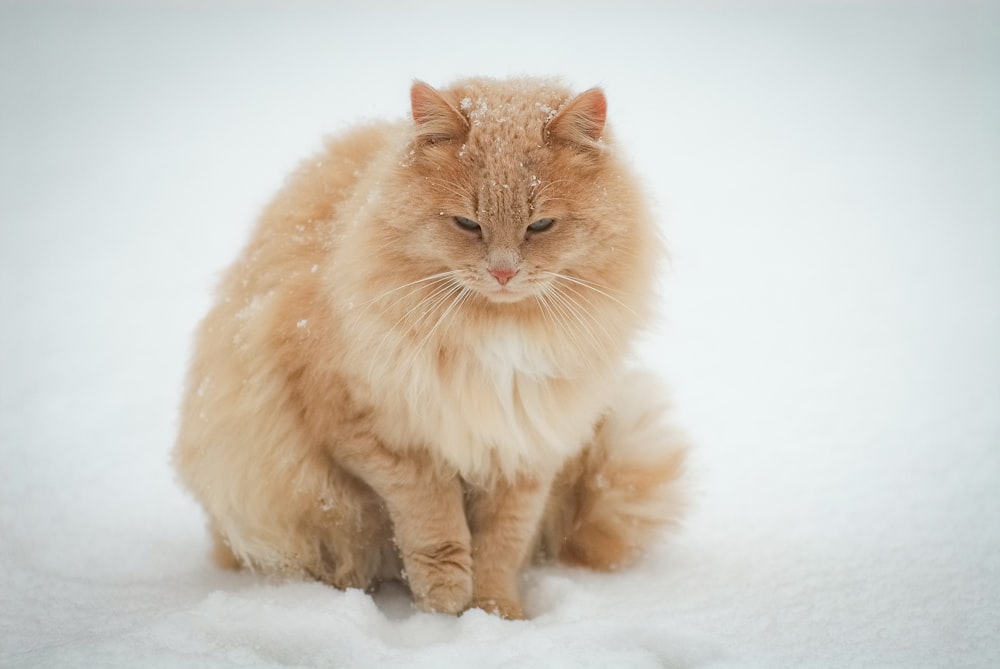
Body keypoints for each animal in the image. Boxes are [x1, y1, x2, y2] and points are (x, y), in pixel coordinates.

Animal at [174, 75, 688, 620]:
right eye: (468, 224)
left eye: (539, 226)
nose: (502, 272)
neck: (497, 336)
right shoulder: (381, 438)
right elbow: (434, 527)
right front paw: (444, 605)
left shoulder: (524, 453)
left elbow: (501, 545)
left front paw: (496, 612)